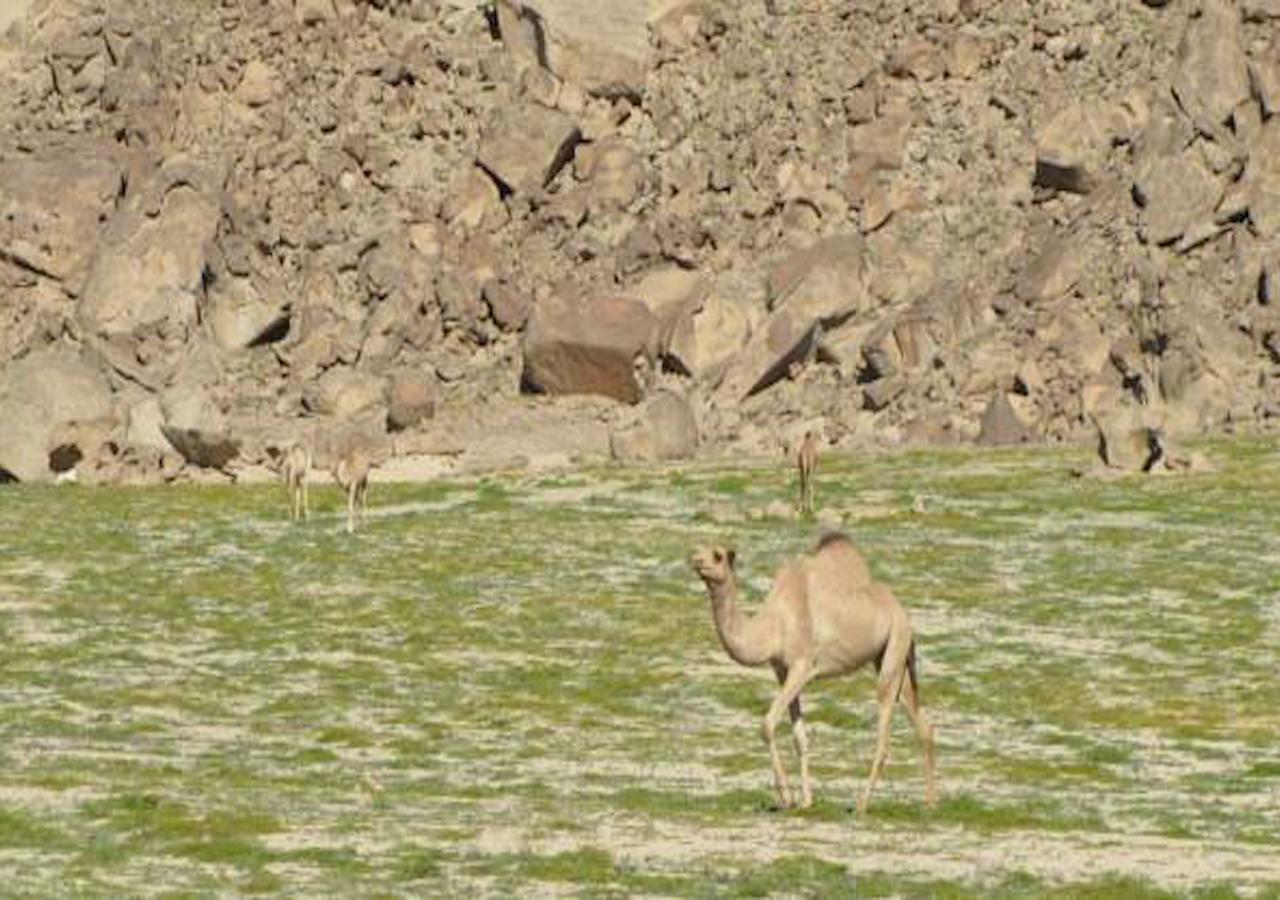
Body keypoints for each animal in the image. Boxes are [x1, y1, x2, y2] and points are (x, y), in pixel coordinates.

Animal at [691, 532, 942, 814]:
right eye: (697, 549)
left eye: (717, 555)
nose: (696, 561)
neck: (773, 625)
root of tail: (903, 614)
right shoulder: (782, 670)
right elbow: (799, 736)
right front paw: (806, 800)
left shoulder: (802, 666)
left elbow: (767, 724)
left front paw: (787, 797)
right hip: (893, 657)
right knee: (921, 721)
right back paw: (930, 803)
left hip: (894, 646)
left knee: (884, 728)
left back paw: (861, 804)